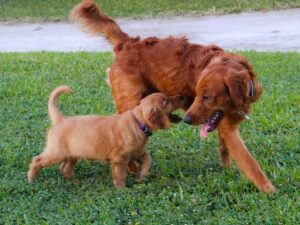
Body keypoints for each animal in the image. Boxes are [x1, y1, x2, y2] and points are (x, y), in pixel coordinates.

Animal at [71, 0, 276, 193]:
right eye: (199, 95)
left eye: (206, 97)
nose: (187, 120)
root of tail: (129, 43)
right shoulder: (229, 130)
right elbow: (250, 163)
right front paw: (268, 189)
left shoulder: (224, 125)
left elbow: (225, 149)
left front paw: (227, 170)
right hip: (130, 105)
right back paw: (130, 169)